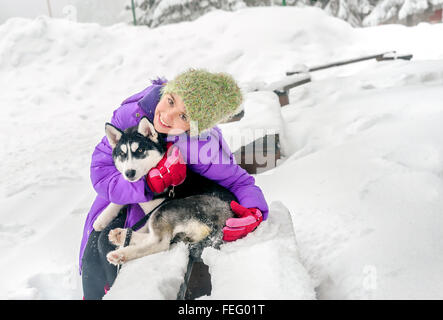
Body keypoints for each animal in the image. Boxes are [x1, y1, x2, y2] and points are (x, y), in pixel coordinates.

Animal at [94, 117, 236, 264]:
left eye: (140, 150)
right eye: (122, 154)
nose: (129, 173)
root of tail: (225, 221)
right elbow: (121, 197)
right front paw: (102, 218)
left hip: (166, 208)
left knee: (159, 242)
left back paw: (121, 253)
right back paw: (121, 235)